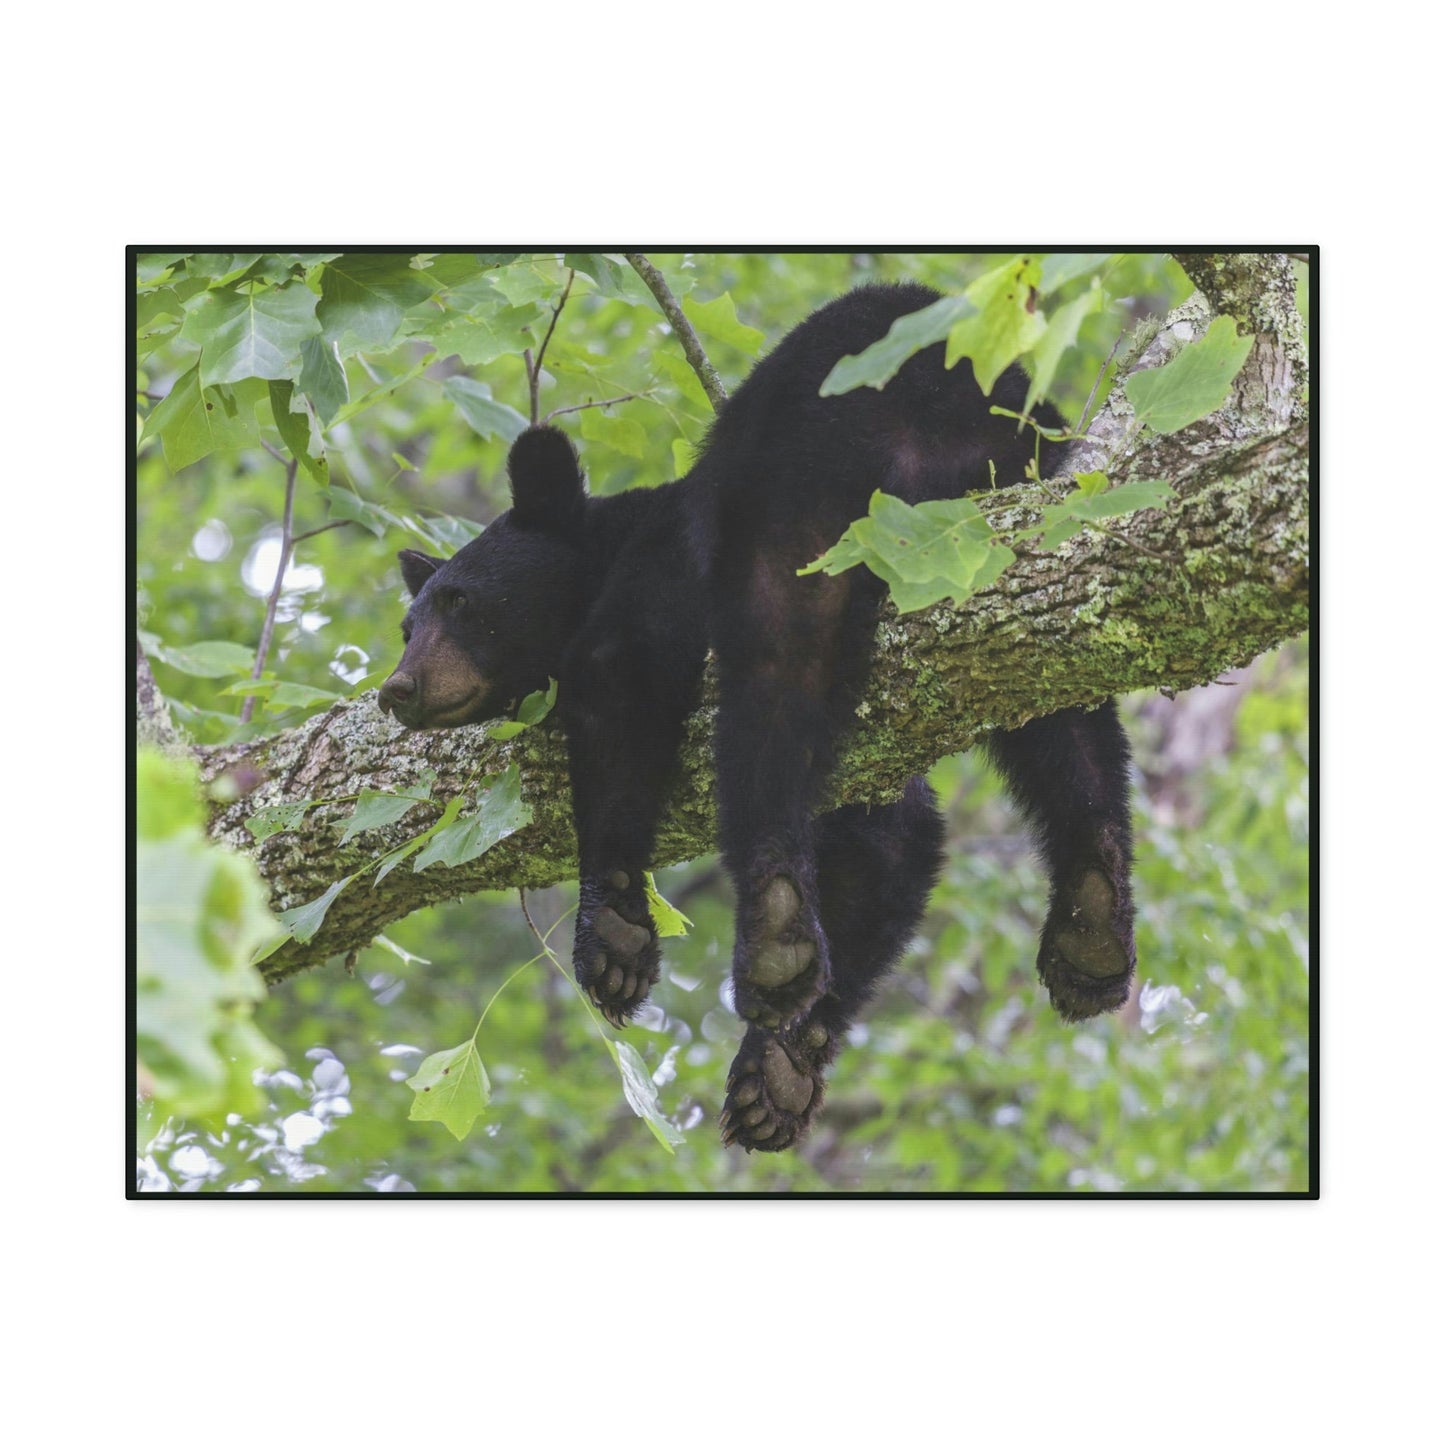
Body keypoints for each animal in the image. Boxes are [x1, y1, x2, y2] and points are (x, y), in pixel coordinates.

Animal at [378, 284, 1132, 1150]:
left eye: (462, 604)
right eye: (407, 624)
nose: (397, 688)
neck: (606, 545)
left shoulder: (662, 564)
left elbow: (617, 673)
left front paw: (614, 932)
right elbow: (893, 839)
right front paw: (778, 1072)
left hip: (800, 488)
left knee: (775, 671)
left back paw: (771, 926)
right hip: (1013, 510)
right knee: (1060, 696)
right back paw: (1091, 918)